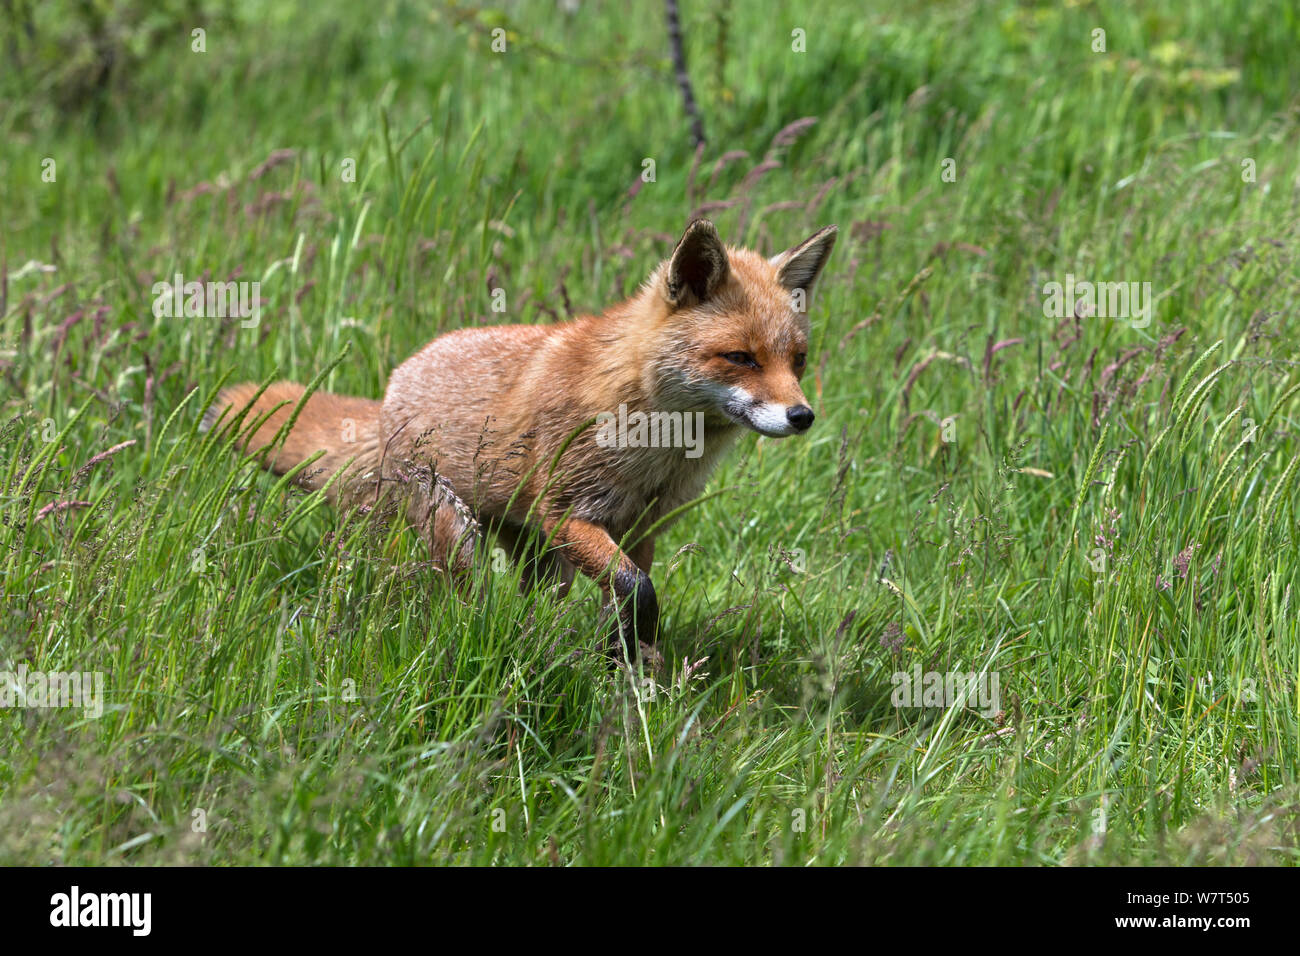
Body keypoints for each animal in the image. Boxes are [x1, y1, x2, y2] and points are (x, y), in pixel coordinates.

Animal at [202, 221, 832, 660]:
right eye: (741, 358)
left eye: (798, 360)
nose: (802, 416)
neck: (655, 445)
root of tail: (390, 390)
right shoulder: (568, 512)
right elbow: (638, 590)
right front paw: (634, 657)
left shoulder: (641, 526)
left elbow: (631, 593)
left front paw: (627, 668)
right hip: (461, 532)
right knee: (468, 599)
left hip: (541, 559)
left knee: (533, 607)